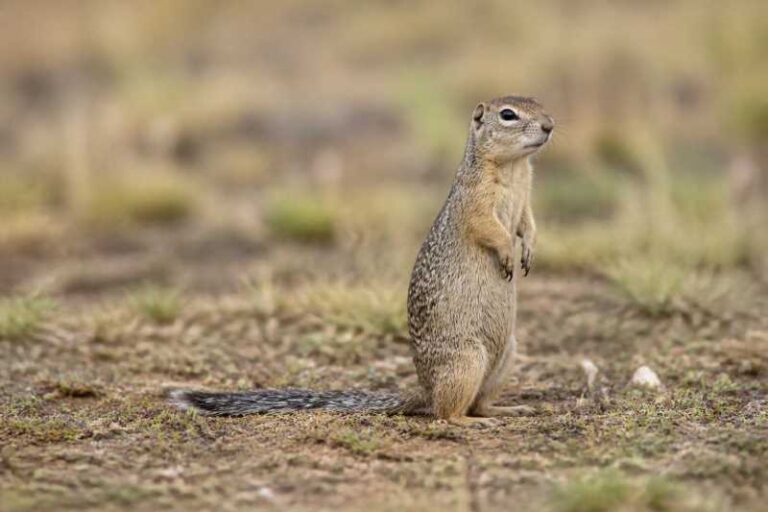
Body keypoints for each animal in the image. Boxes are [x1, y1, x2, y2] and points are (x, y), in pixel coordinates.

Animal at [169, 96, 554, 426]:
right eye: (508, 114)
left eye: (540, 103)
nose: (550, 125)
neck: (515, 168)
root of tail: (424, 389)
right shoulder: (474, 201)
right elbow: (489, 228)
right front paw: (508, 253)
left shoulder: (527, 198)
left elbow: (528, 223)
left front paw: (529, 250)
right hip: (467, 361)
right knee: (447, 412)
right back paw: (472, 421)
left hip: (506, 359)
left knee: (479, 403)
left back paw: (509, 409)